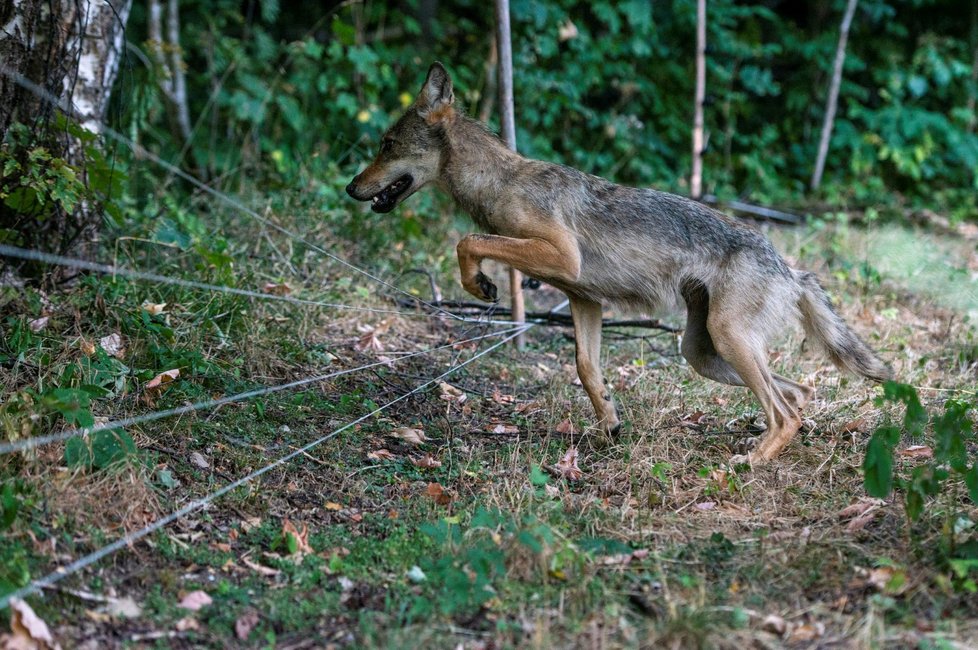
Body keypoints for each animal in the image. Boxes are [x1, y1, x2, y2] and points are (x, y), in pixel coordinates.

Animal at [346, 60, 892, 464]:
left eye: (386, 146)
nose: (350, 188)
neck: (500, 183)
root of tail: (791, 269)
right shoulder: (583, 299)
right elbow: (587, 368)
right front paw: (608, 423)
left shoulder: (558, 256)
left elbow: (468, 240)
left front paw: (478, 285)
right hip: (704, 353)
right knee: (798, 393)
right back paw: (769, 444)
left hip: (727, 340)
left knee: (785, 410)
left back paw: (752, 461)